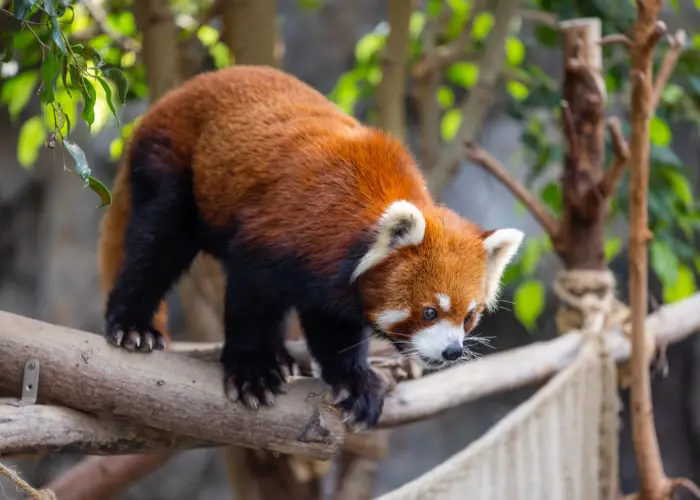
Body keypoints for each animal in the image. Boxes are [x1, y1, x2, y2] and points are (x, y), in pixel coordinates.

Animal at [98, 65, 524, 430]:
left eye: (469, 318)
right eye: (430, 312)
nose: (452, 351)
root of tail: (176, 94)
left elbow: (333, 328)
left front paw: (354, 382)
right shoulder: (278, 235)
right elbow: (251, 302)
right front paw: (252, 370)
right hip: (175, 159)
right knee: (158, 240)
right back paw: (132, 326)